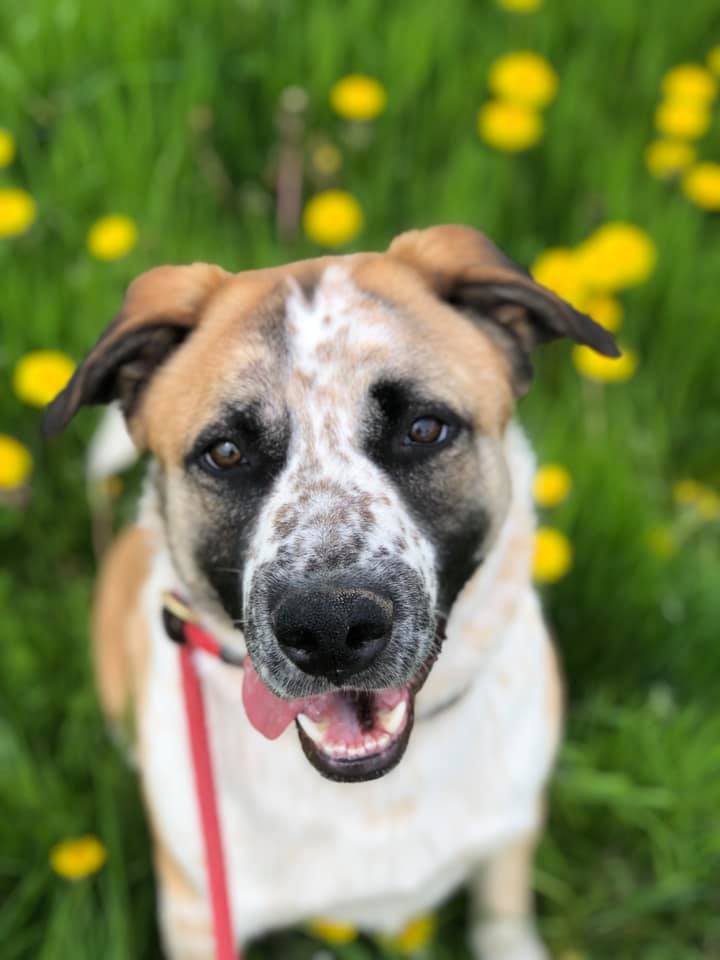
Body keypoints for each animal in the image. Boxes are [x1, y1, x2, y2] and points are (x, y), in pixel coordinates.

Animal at [45, 227, 620, 960]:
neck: (373, 796)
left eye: (424, 428)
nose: (329, 630)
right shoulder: (198, 912)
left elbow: (501, 918)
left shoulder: (511, 833)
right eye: (225, 452)